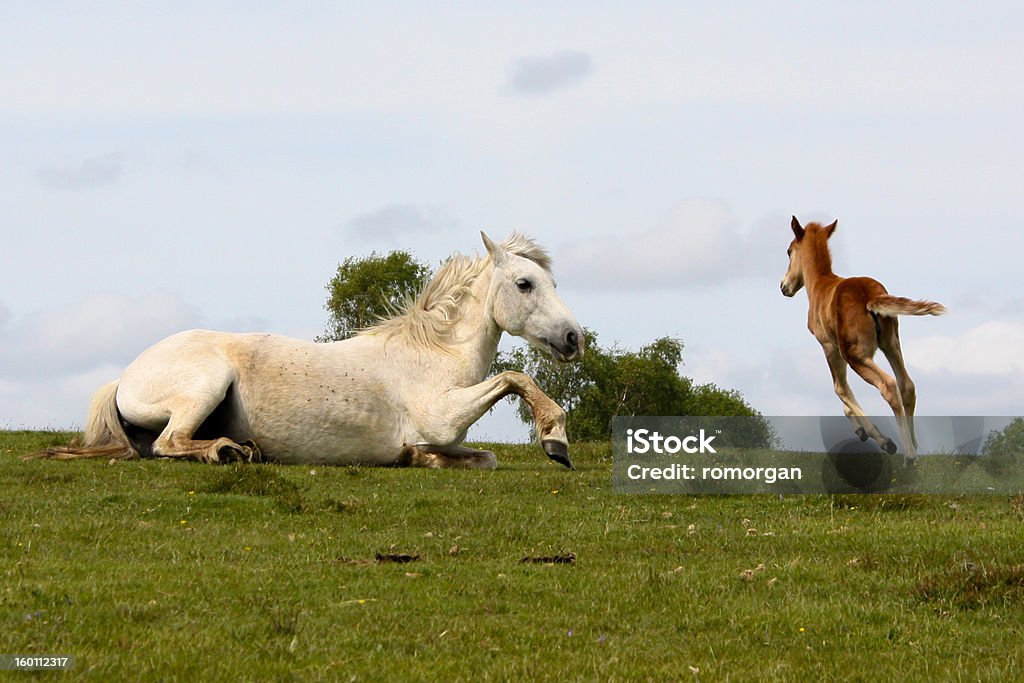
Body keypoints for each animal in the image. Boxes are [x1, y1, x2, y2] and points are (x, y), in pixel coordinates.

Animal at [37, 232, 585, 466]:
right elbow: (515, 378)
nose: (573, 339)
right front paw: (555, 438)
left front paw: (415, 458)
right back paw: (228, 451)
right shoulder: (443, 417)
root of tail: (124, 378)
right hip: (205, 385)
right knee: (170, 443)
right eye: (524, 284)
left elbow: (482, 457)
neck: (432, 356)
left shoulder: (452, 437)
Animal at [782, 218, 942, 464]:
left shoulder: (829, 346)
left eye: (789, 251)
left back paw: (908, 454)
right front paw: (861, 430)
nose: (784, 286)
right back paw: (915, 447)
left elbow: (840, 388)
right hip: (891, 344)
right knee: (907, 385)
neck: (820, 283)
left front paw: (880, 439)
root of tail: (870, 296)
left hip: (856, 354)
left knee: (888, 385)